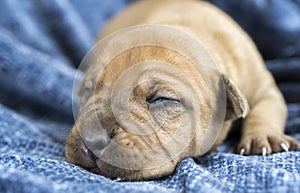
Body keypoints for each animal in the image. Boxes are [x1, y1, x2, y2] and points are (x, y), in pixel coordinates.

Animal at [64, 0, 298, 181]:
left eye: (160, 99)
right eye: (88, 90)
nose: (92, 139)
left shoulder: (262, 87)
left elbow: (266, 109)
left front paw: (265, 137)